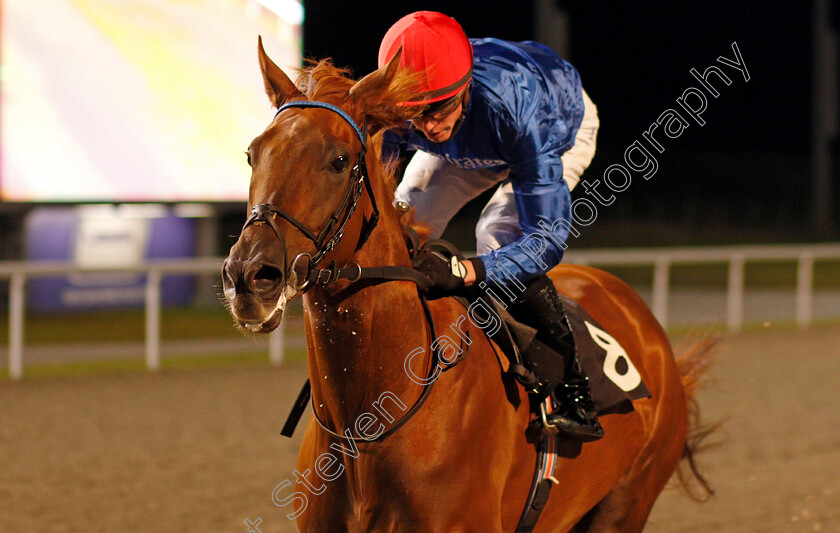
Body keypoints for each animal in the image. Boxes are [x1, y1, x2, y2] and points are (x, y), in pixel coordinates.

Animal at [223, 39, 708, 528]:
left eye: (339, 161)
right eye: (252, 154)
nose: (248, 276)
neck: (365, 424)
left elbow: (541, 237)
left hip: (627, 502)